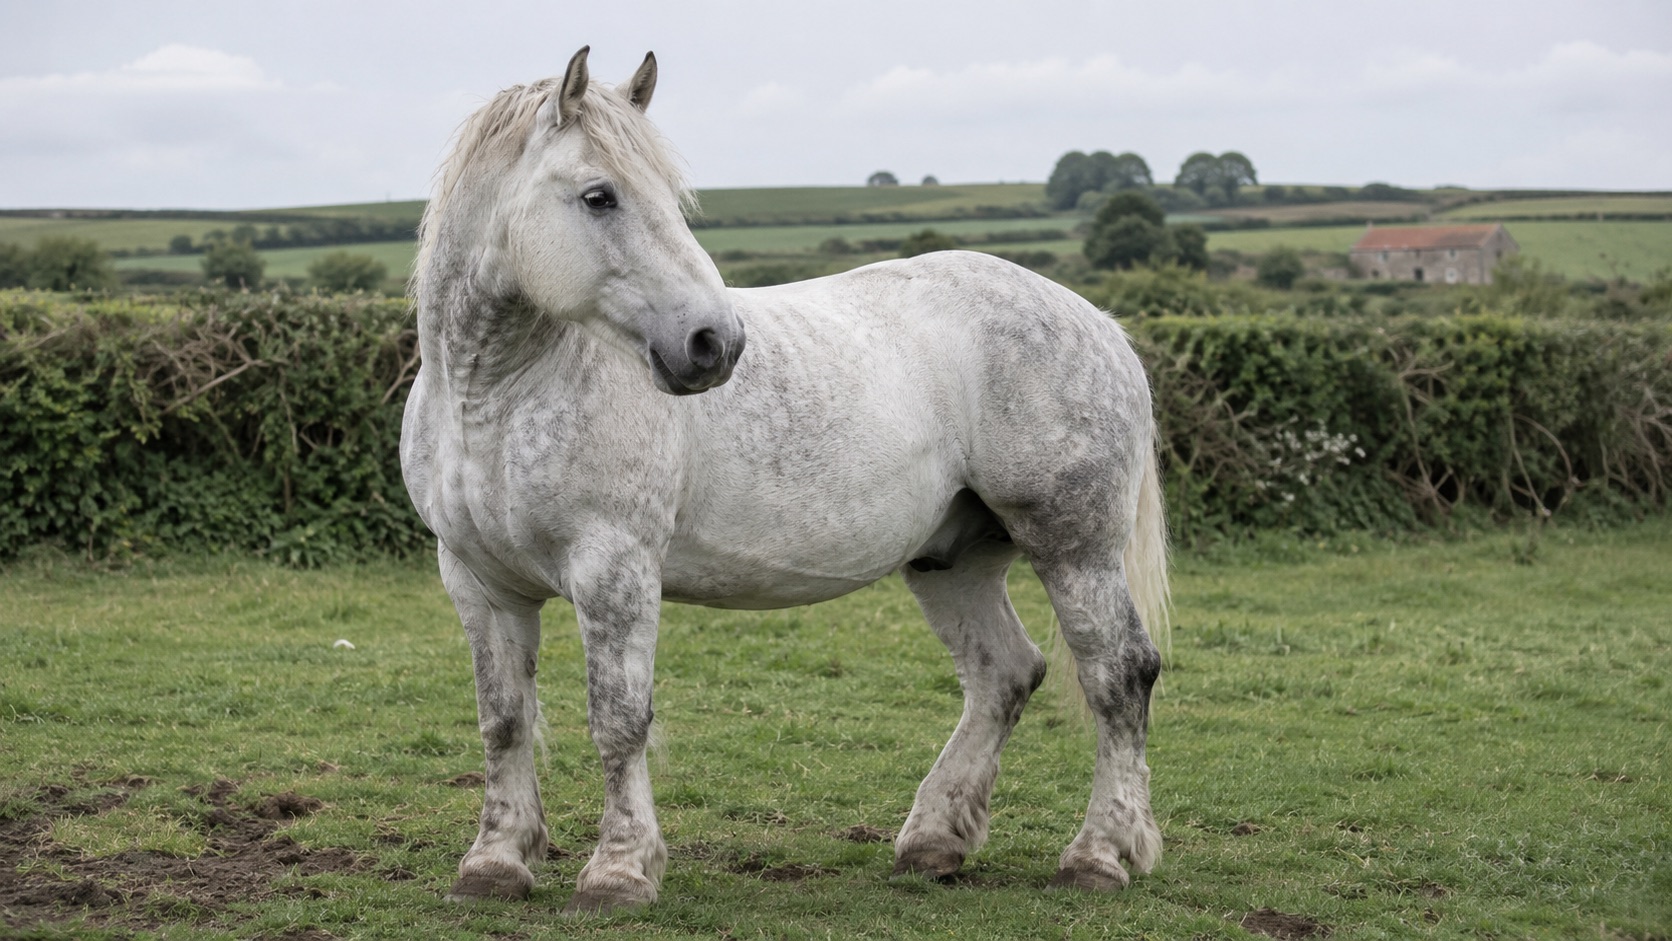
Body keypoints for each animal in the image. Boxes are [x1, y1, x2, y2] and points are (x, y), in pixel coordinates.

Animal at [401, 46, 1169, 914]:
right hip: (954, 561)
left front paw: (620, 870)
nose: (713, 343)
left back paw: (1100, 852)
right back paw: (935, 841)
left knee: (1118, 675)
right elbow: (503, 720)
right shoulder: (479, 582)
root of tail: (1098, 322)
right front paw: (495, 861)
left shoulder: (613, 570)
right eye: (599, 196)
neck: (494, 398)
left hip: (1075, 550)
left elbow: (619, 720)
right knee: (1004, 673)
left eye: (672, 197)